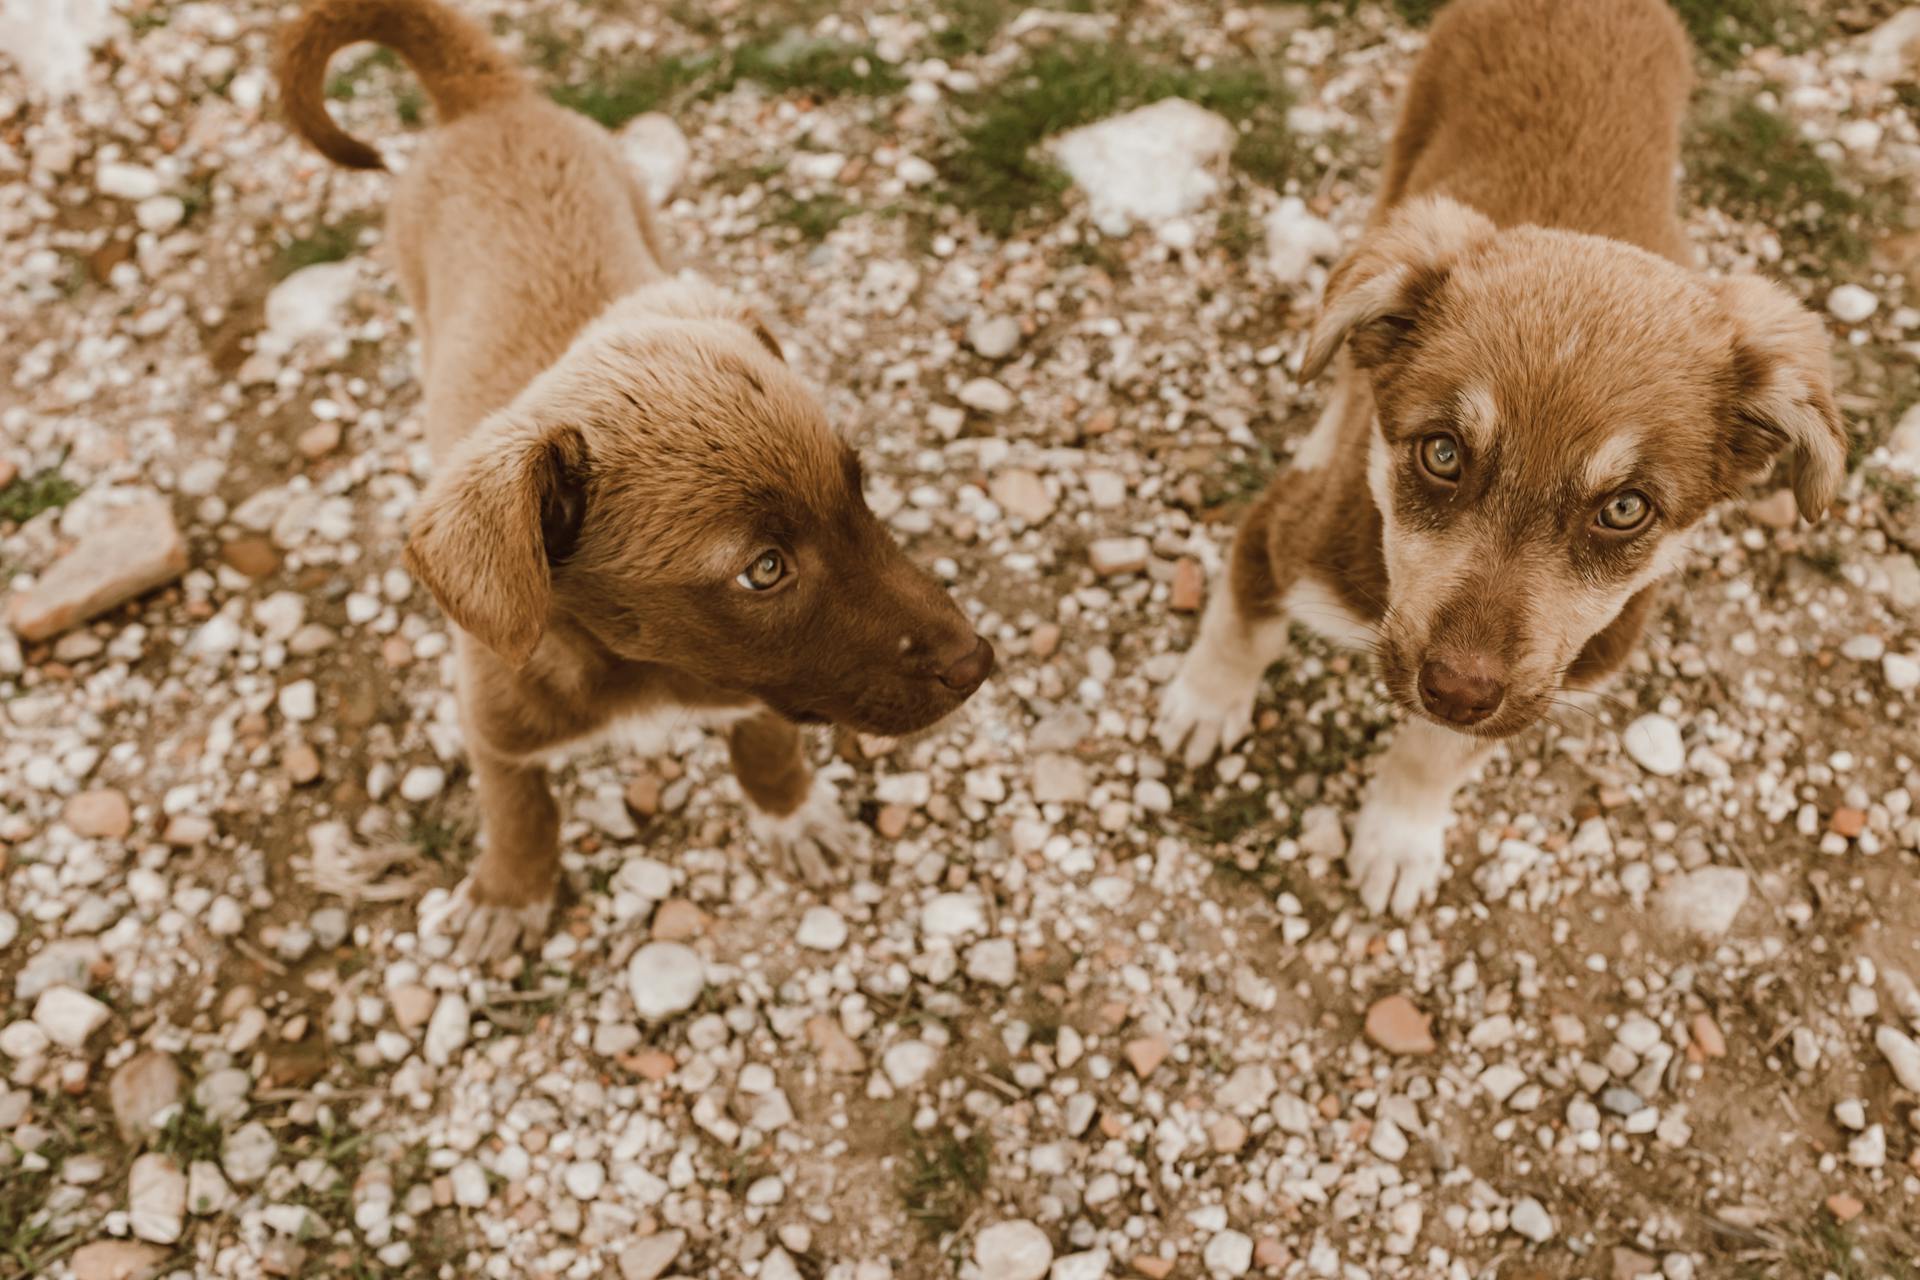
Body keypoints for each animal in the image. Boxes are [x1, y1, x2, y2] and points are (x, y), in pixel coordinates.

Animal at [278, 2, 998, 959]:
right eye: (765, 569)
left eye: (860, 490)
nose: (977, 661)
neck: (639, 671)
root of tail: (489, 106)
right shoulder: (491, 710)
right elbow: (518, 804)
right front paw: (510, 893)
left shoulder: (754, 684)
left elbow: (766, 737)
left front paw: (791, 811)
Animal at [1152, 0, 1843, 921]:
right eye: (1442, 453)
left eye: (1626, 508)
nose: (1456, 687)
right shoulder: (1279, 535)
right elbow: (1240, 626)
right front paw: (1203, 704)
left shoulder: (1543, 685)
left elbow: (1432, 755)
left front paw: (1399, 837)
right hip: (1407, 150)